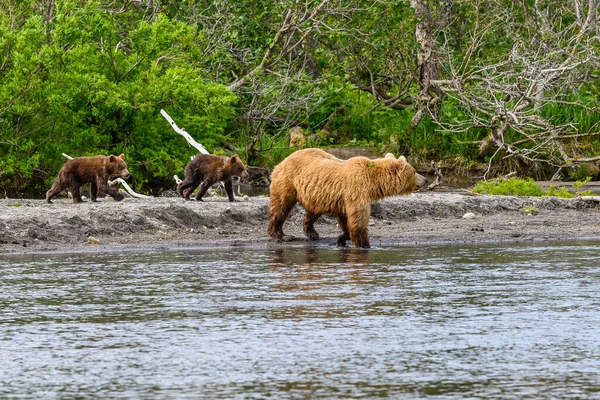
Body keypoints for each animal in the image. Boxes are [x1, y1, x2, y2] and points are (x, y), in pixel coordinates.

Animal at [268, 148, 426, 248]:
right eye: (414, 171)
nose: (425, 179)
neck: (373, 183)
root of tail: (281, 161)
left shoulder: (346, 198)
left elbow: (346, 220)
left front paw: (341, 239)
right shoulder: (357, 191)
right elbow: (358, 221)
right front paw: (364, 245)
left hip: (317, 194)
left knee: (313, 211)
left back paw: (312, 232)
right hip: (288, 182)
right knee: (281, 207)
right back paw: (281, 234)